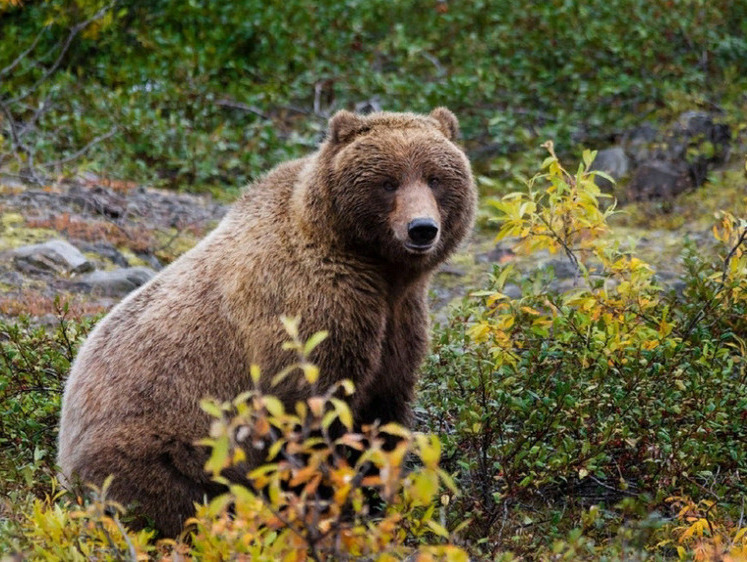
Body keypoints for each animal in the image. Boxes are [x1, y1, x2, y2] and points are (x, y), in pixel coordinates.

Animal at [58, 106, 480, 532]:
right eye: (388, 182)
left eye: (435, 178)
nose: (422, 228)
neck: (375, 269)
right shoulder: (310, 311)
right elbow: (314, 414)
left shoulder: (399, 321)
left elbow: (384, 413)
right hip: (165, 442)